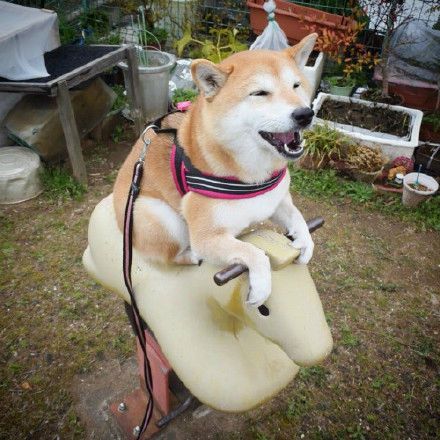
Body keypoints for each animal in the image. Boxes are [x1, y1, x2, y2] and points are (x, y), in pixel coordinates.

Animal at [113, 33, 318, 307]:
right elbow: (254, 252)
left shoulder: (276, 201)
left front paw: (305, 243)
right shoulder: (206, 237)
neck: (252, 176)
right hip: (159, 216)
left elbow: (298, 218)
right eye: (260, 93)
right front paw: (261, 286)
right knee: (171, 255)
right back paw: (191, 257)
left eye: (296, 85)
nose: (306, 114)